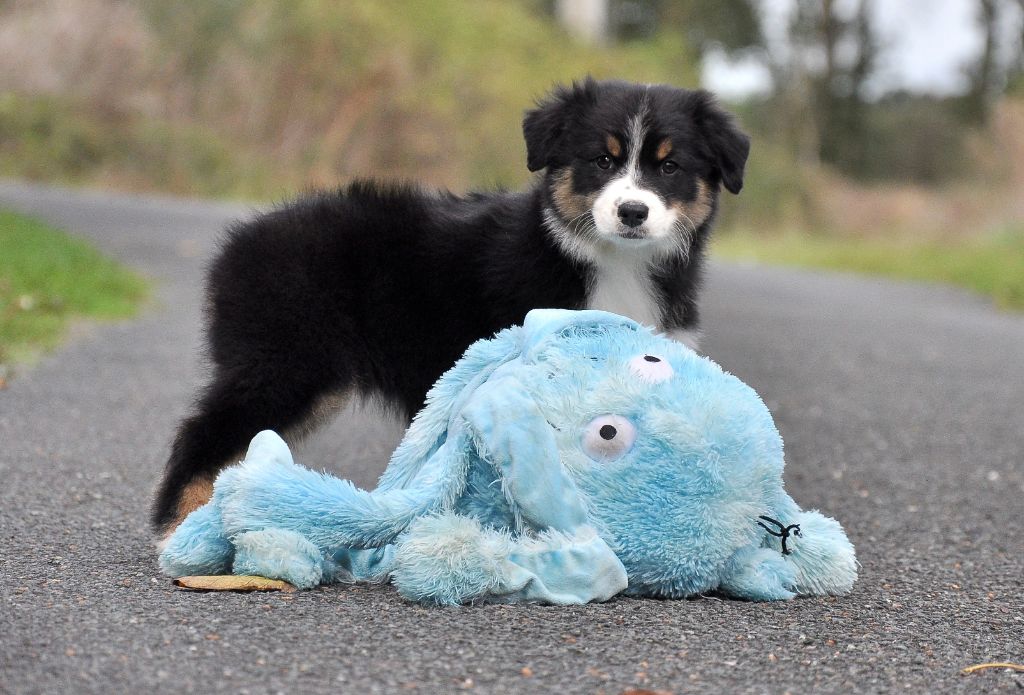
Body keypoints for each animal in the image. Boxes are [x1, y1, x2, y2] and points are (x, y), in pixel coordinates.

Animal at [152, 77, 750, 533]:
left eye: (669, 168)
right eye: (602, 161)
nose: (631, 212)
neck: (611, 262)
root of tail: (237, 243)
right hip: (286, 364)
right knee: (201, 434)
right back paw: (179, 531)